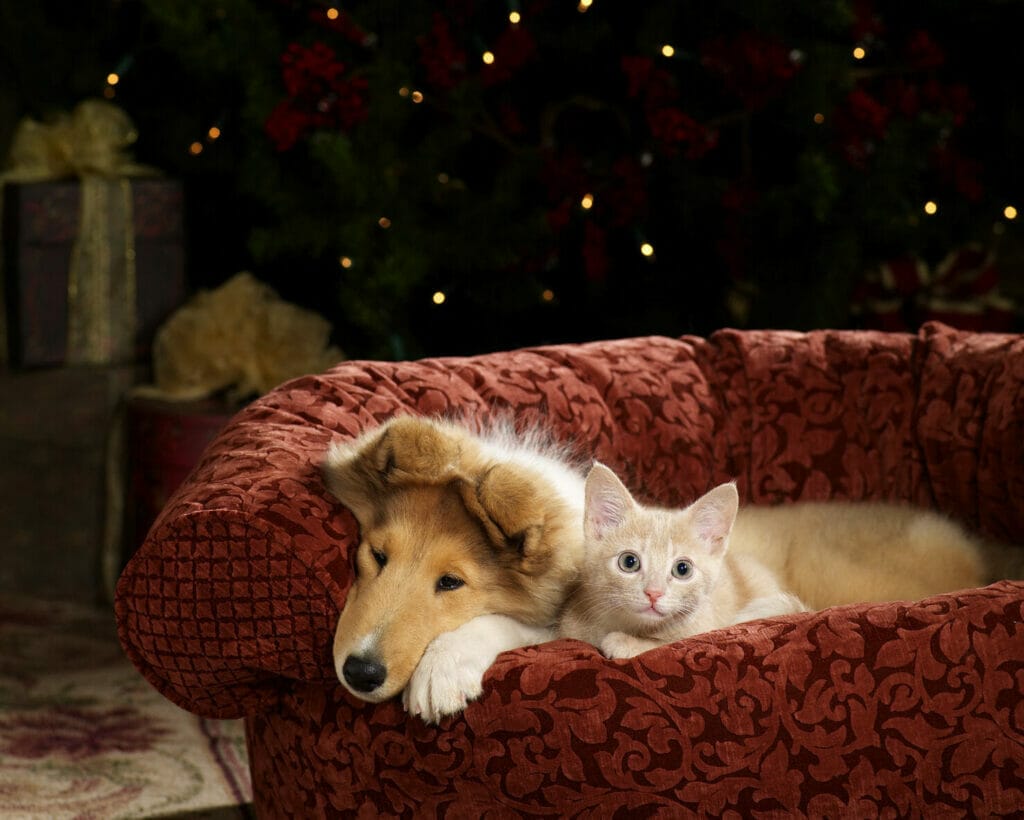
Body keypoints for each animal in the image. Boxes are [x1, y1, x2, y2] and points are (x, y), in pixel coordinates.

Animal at [557, 460, 802, 659]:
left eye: (682, 569)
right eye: (629, 562)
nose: (653, 593)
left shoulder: (704, 626)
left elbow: (672, 643)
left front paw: (625, 642)